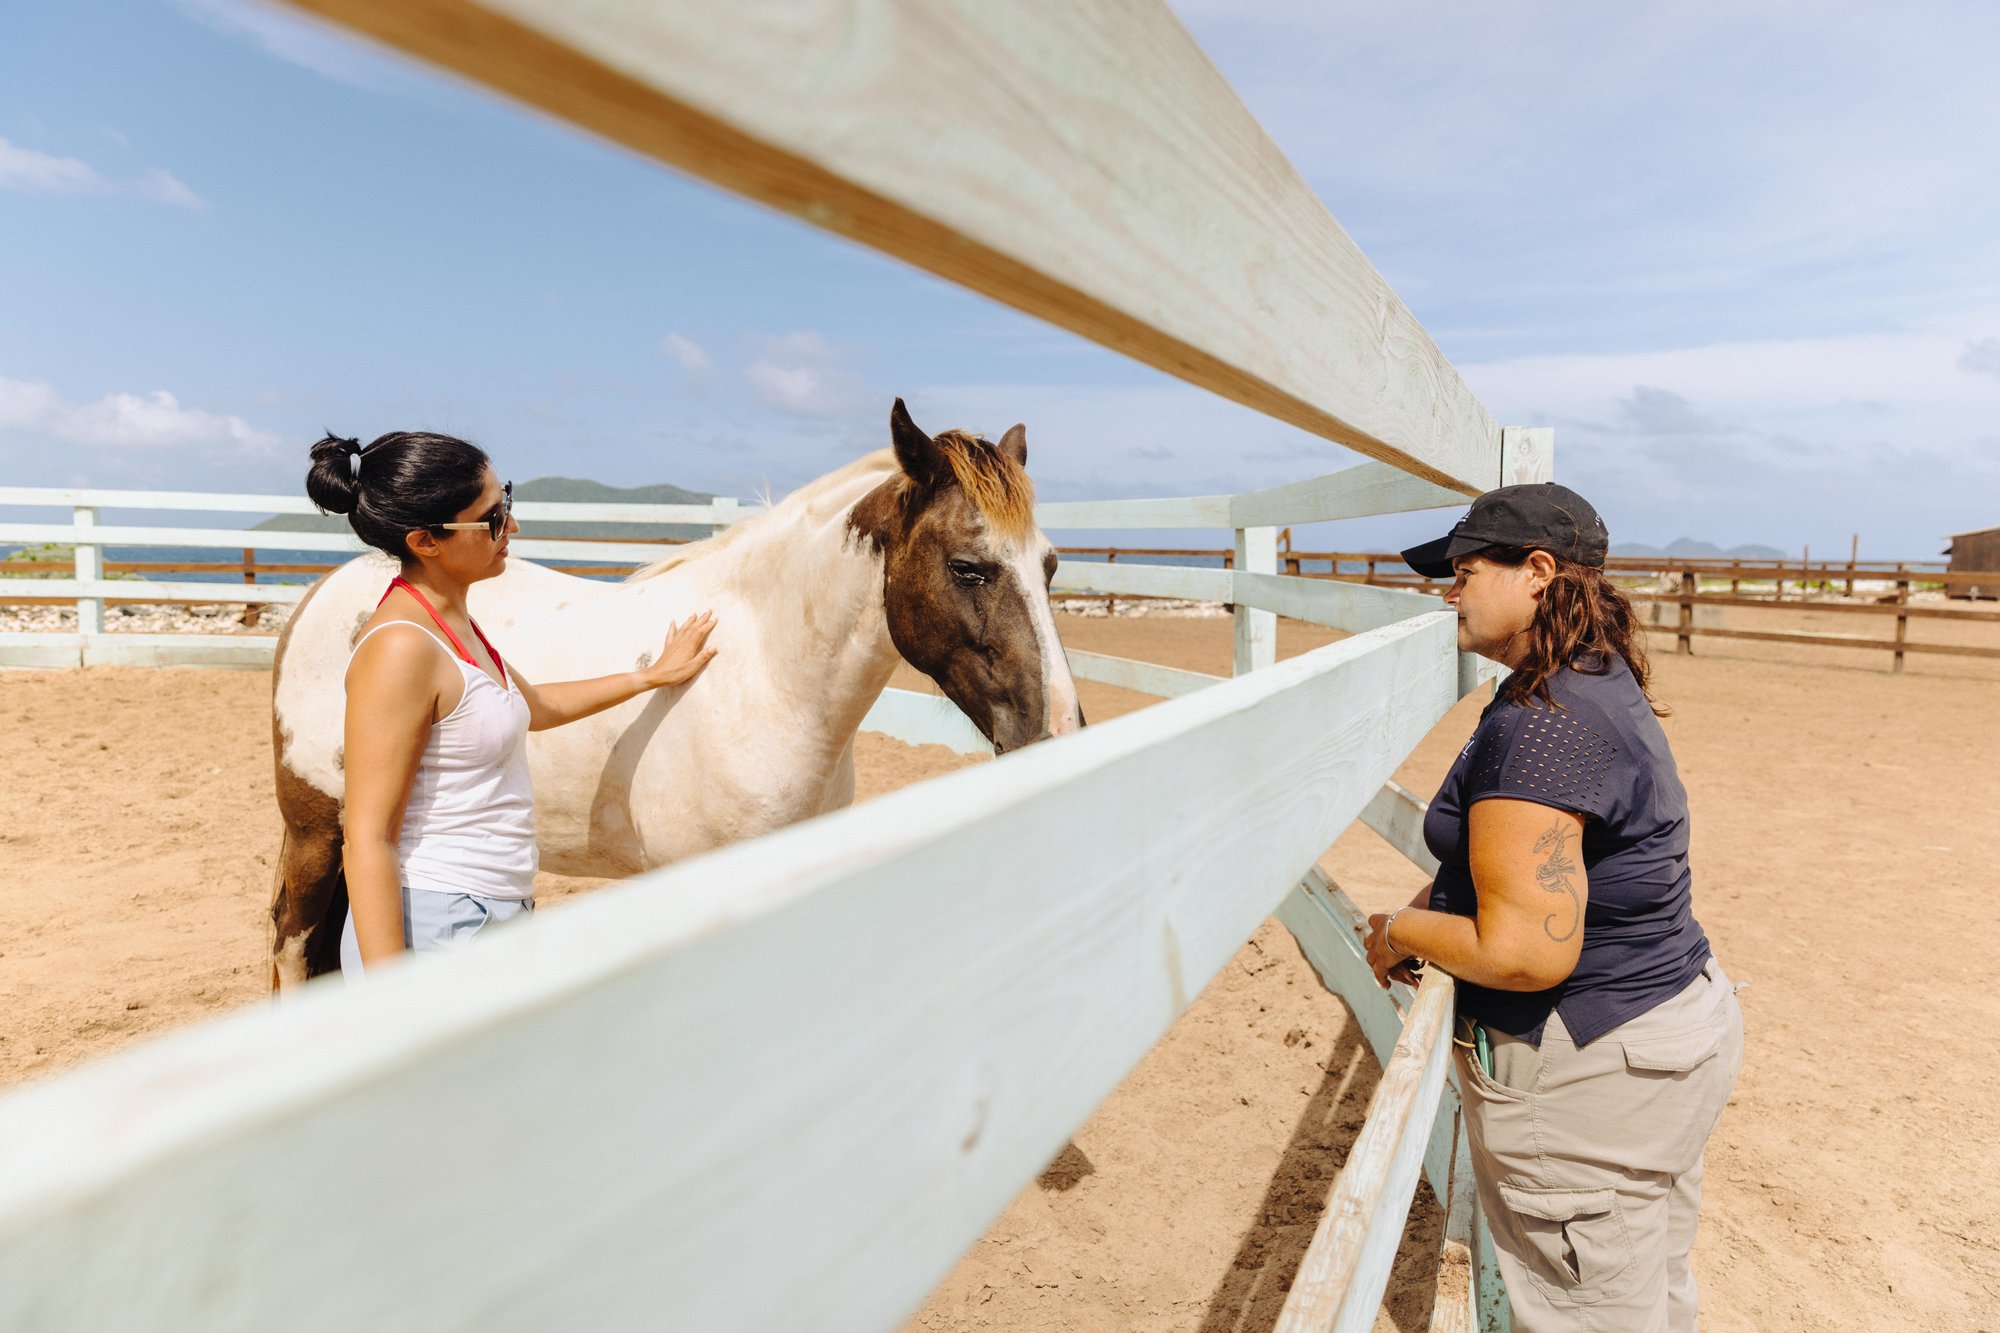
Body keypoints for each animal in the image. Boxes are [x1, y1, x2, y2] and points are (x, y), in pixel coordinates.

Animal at [267, 399, 1082, 989]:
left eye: (1049, 565)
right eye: (968, 566)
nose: (1060, 731)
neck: (764, 680)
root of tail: (323, 594)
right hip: (319, 835)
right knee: (294, 949)